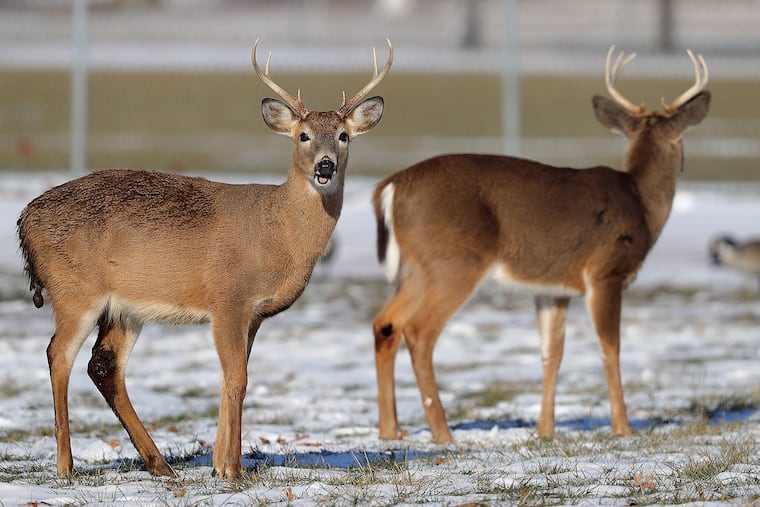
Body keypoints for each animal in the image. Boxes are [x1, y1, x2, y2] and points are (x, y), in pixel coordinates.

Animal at [17, 38, 391, 480]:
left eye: (344, 135)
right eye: (303, 135)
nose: (325, 165)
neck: (277, 231)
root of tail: (25, 219)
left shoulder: (253, 314)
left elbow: (232, 377)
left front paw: (218, 464)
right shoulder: (228, 299)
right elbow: (238, 379)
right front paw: (233, 469)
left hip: (123, 308)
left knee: (104, 366)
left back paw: (160, 464)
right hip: (74, 291)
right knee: (59, 355)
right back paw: (66, 465)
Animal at [371, 46, 709, 444]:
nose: (685, 164)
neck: (639, 201)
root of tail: (391, 186)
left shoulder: (553, 289)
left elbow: (552, 353)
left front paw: (545, 429)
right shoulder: (606, 272)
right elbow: (610, 348)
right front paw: (622, 428)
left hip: (415, 269)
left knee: (385, 324)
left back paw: (389, 431)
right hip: (452, 264)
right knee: (419, 333)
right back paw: (443, 434)